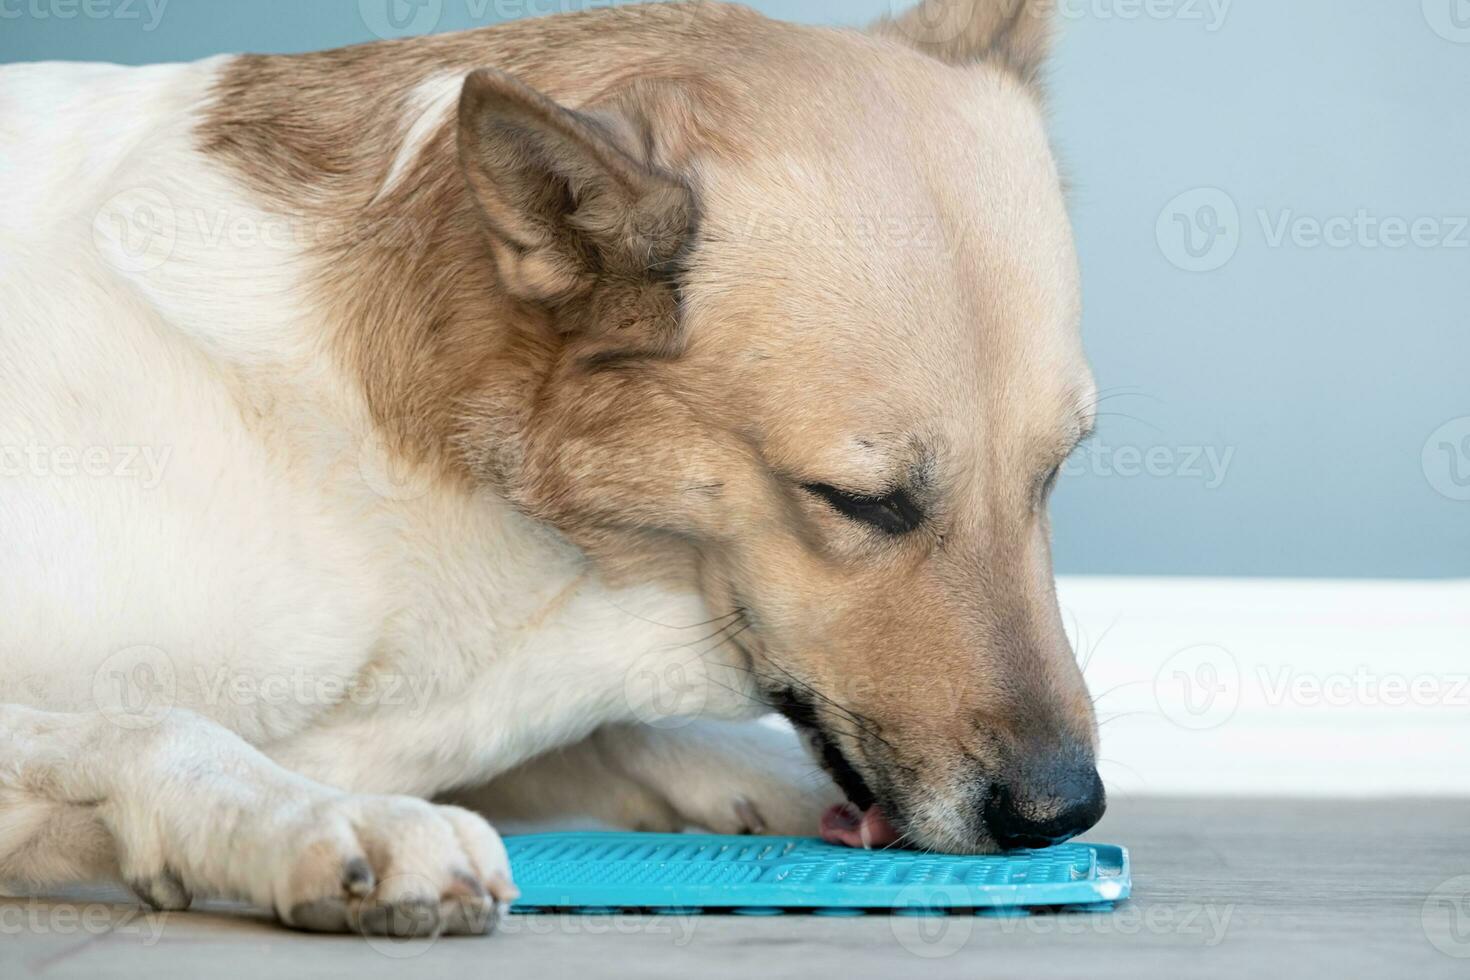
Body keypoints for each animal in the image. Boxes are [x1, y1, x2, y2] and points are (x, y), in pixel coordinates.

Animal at [0, 0, 1105, 934]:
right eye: (858, 502)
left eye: (1057, 471)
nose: (1064, 813)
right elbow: (155, 727)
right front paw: (331, 823)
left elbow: (629, 738)